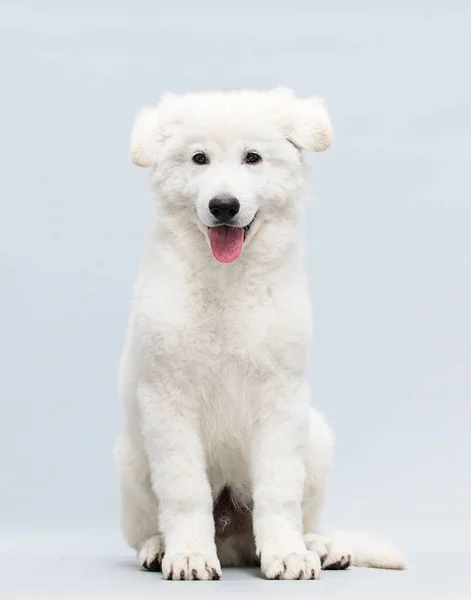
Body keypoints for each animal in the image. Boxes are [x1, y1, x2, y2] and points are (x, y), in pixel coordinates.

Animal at [115, 86, 406, 580]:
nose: (224, 206)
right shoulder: (168, 397)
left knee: (304, 516)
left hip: (317, 438)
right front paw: (189, 554)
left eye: (253, 158)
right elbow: (184, 489)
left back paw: (320, 547)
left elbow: (279, 490)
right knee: (145, 528)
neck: (226, 279)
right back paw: (158, 548)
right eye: (199, 158)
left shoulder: (281, 396)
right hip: (130, 456)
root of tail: (233, 542)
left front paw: (287, 554)